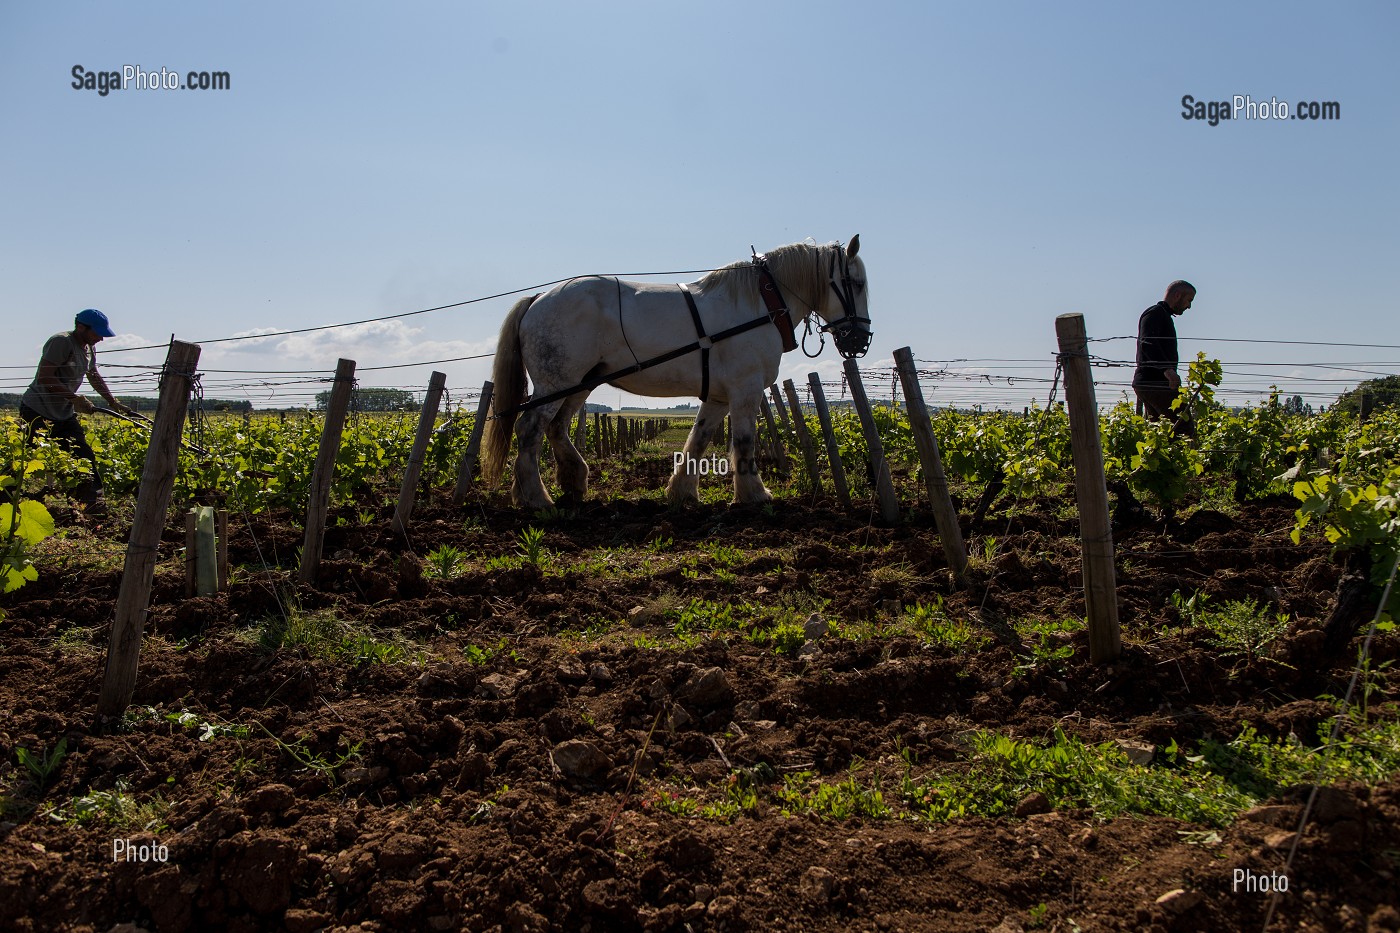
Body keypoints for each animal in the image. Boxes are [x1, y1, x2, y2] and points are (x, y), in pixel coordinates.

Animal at [487, 232, 868, 509]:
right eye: (857, 283)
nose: (861, 339)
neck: (760, 305)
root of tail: (538, 299)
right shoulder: (746, 389)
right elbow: (744, 442)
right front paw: (754, 495)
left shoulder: (718, 397)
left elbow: (697, 440)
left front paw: (682, 491)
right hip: (555, 383)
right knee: (530, 430)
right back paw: (535, 497)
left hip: (579, 384)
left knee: (556, 429)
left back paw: (572, 482)